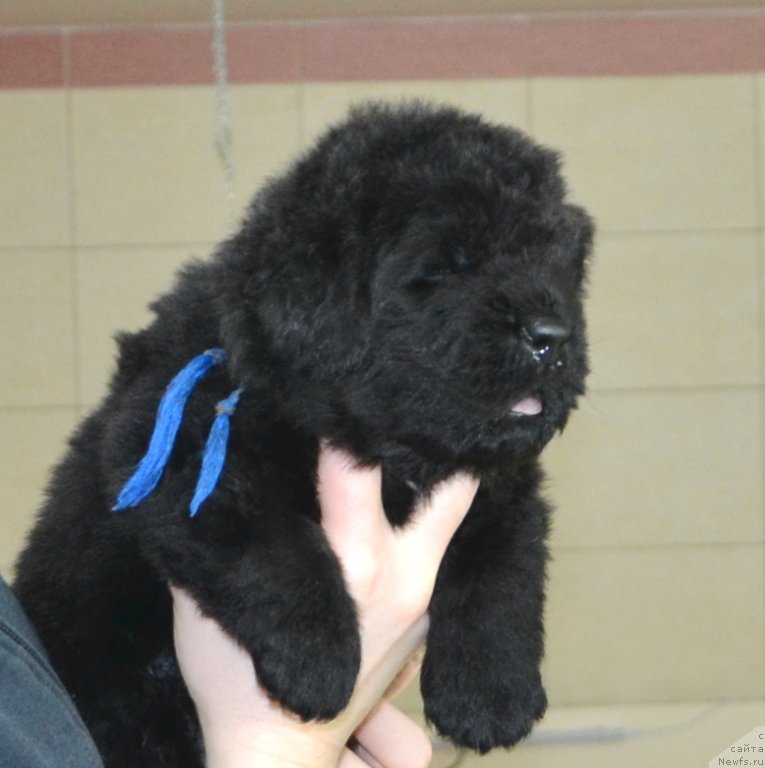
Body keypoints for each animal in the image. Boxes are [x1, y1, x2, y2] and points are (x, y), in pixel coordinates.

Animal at [14, 103, 592, 768]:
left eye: (551, 263)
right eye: (446, 267)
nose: (552, 336)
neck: (393, 456)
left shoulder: (504, 486)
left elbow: (503, 571)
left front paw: (492, 695)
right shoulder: (179, 452)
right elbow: (280, 547)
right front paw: (319, 662)